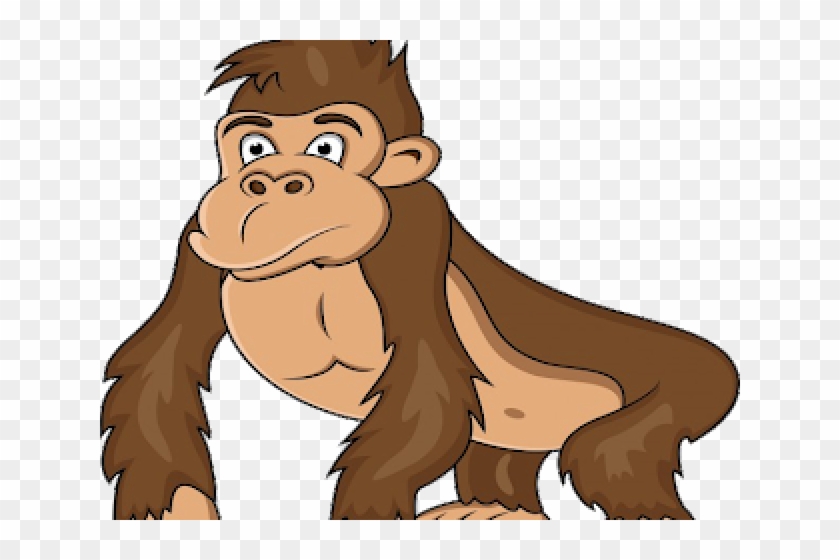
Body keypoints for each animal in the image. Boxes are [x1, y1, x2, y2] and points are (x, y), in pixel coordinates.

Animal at [100, 40, 739, 520]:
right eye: (255, 147)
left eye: (327, 147)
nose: (271, 181)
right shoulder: (197, 239)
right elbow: (161, 364)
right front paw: (175, 512)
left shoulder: (416, 231)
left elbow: (426, 382)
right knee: (501, 456)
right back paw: (493, 510)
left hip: (690, 386)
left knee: (609, 456)